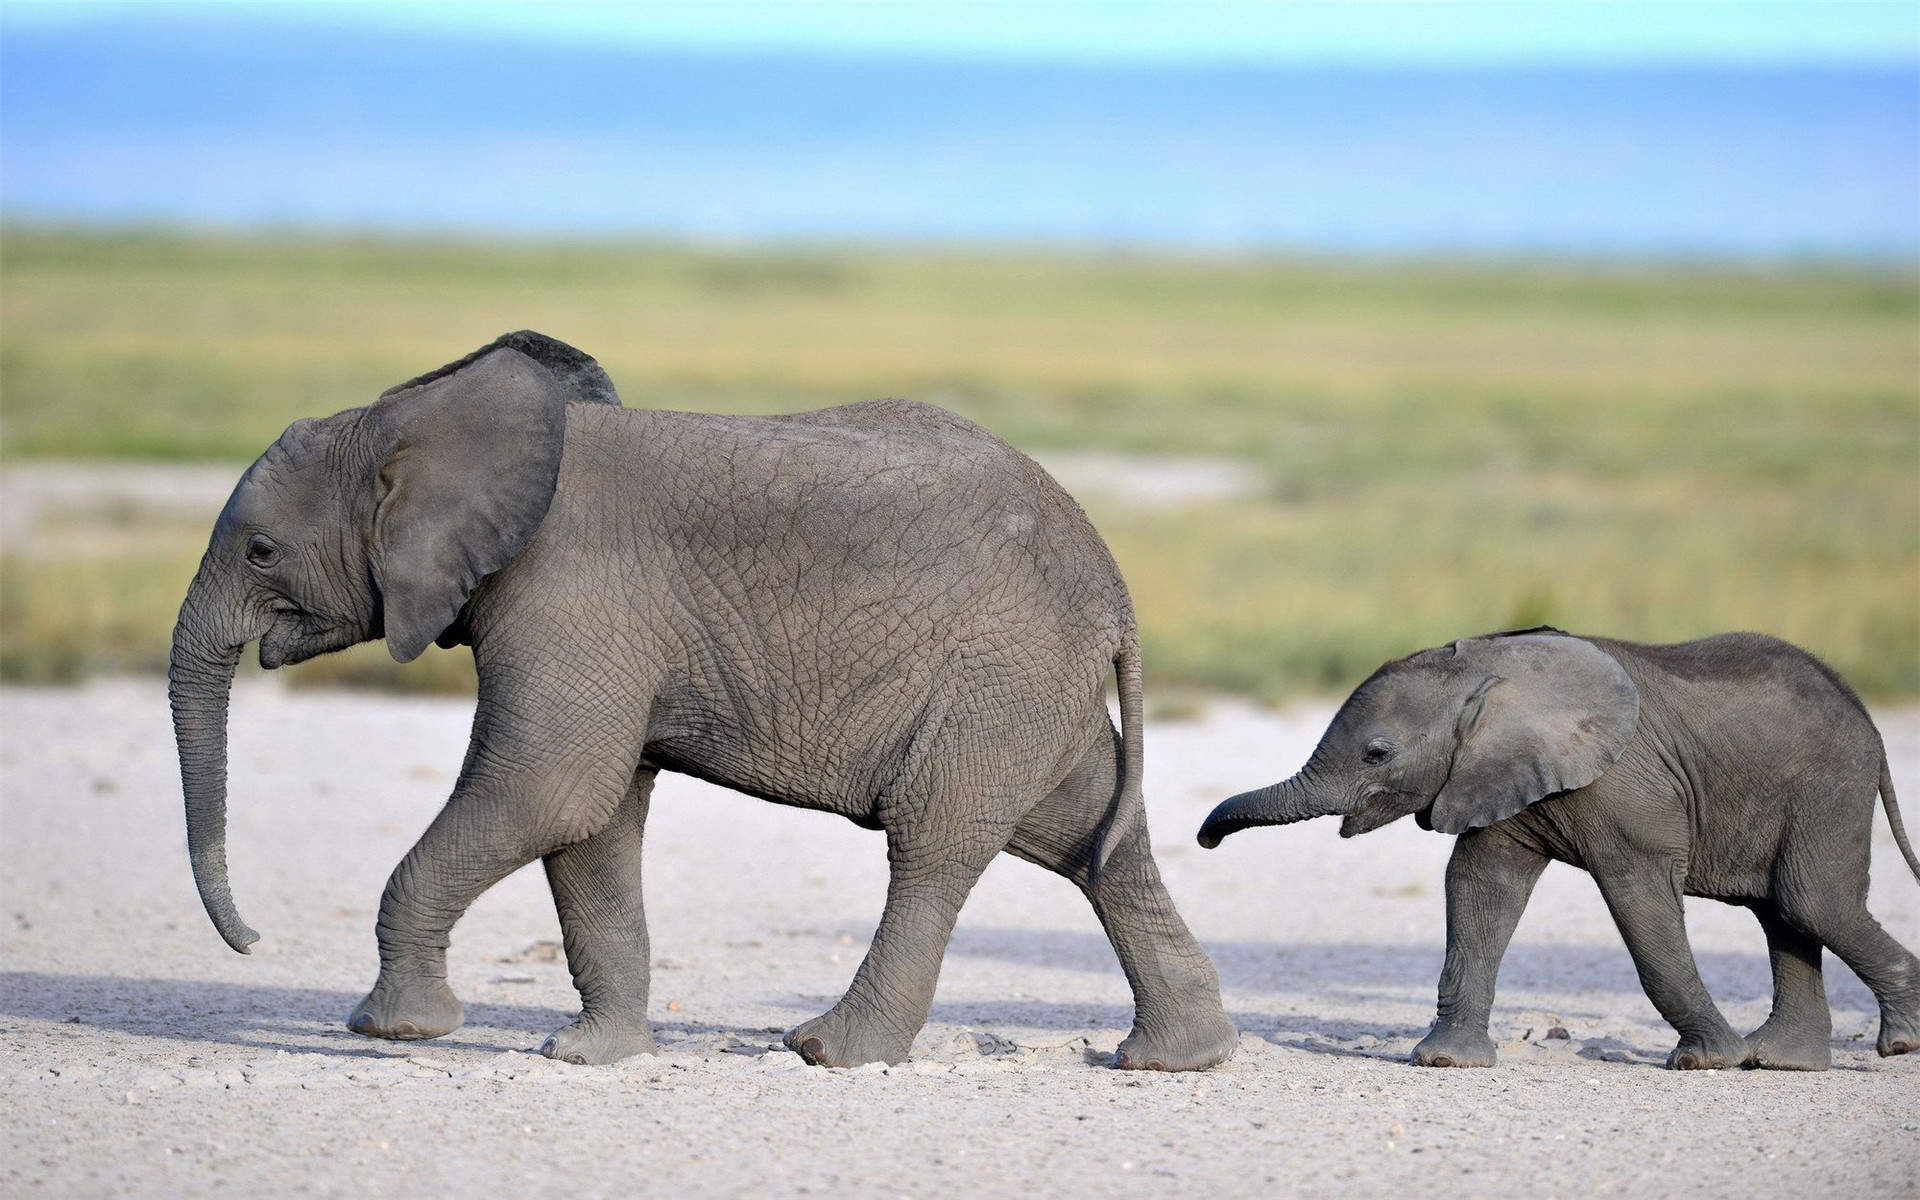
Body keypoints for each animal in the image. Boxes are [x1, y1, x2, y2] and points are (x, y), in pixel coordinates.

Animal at [169, 330, 1237, 1071]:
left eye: (260, 550)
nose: (252, 942)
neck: (424, 419)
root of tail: (1111, 581)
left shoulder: (570, 599)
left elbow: (548, 790)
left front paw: (396, 1032)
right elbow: (592, 822)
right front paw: (589, 1058)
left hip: (997, 674)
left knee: (935, 845)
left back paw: (827, 1052)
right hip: (1032, 685)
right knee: (1095, 841)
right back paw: (1171, 1059)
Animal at [1198, 627, 1920, 1071]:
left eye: (1378, 753)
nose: (1205, 840)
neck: (1485, 672)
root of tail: (1867, 717)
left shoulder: (1627, 788)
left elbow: (1640, 900)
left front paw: (1705, 1062)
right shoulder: (1492, 774)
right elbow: (1480, 887)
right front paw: (1444, 1062)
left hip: (1830, 786)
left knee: (1810, 902)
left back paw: (1898, 1045)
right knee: (1783, 913)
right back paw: (1778, 1061)